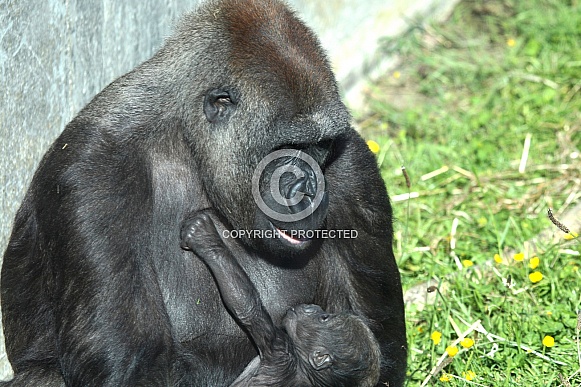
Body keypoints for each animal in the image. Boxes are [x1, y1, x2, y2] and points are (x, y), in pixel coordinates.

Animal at [181, 211, 380, 386]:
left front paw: (206, 239)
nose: (313, 308)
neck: (307, 371)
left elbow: (247, 308)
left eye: (324, 318)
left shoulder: (279, 350)